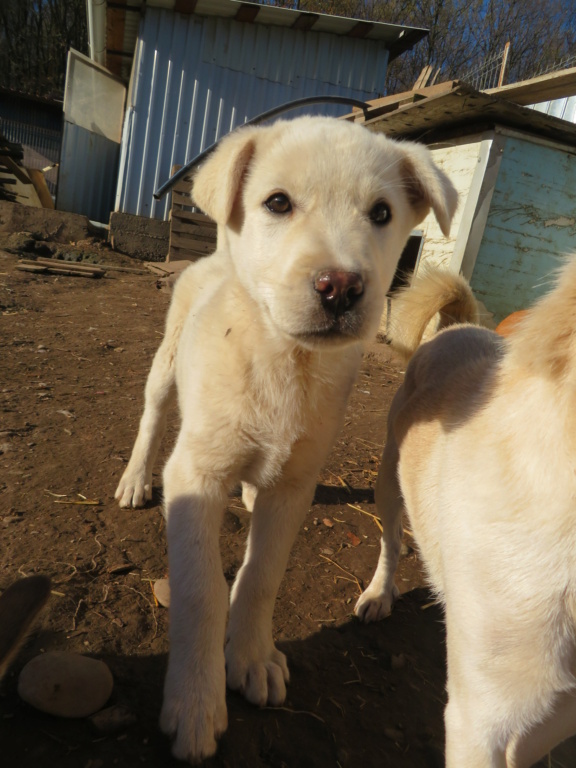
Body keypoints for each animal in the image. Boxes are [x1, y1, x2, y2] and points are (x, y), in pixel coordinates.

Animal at [115, 115, 456, 760]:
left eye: (381, 213)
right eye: (277, 203)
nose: (341, 286)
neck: (283, 359)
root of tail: (212, 257)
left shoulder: (298, 483)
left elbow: (261, 575)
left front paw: (250, 658)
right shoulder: (195, 476)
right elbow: (201, 591)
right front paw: (195, 702)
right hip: (166, 363)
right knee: (149, 413)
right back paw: (134, 479)